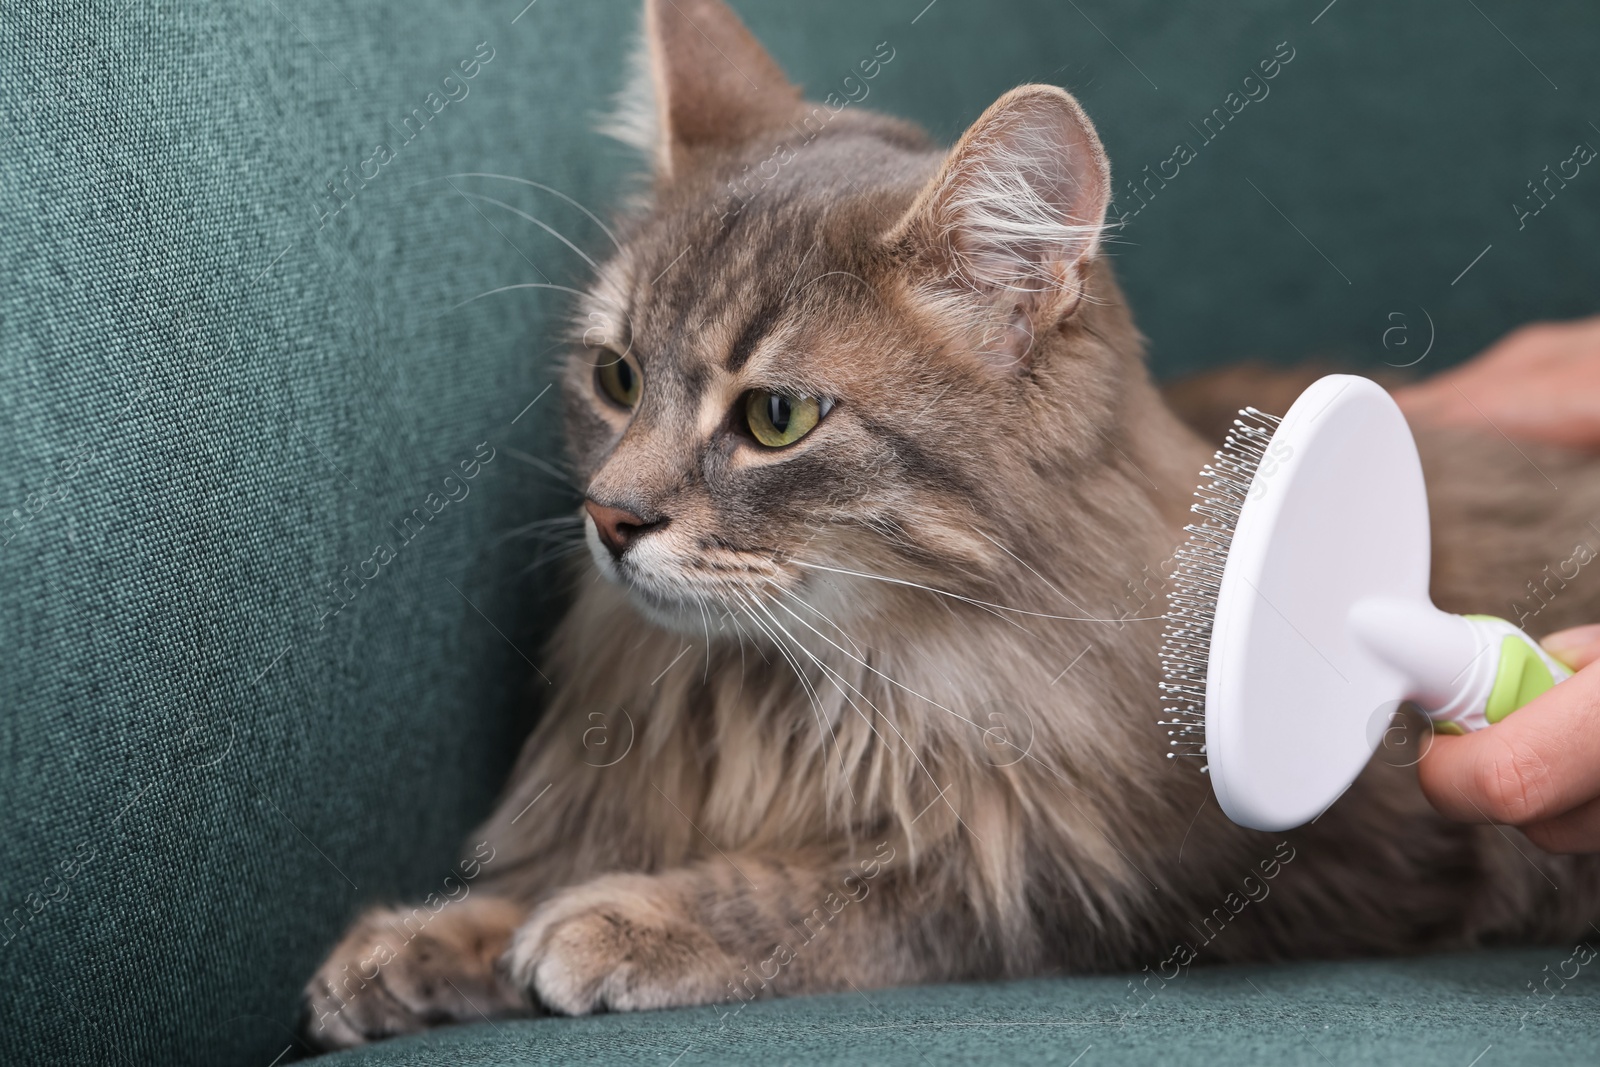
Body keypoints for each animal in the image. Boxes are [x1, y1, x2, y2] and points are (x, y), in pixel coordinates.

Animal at [300, 0, 1600, 1049]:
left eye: (775, 417)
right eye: (616, 379)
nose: (610, 516)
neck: (800, 699)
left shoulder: (1059, 881)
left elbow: (825, 890)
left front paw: (625, 917)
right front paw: (431, 941)